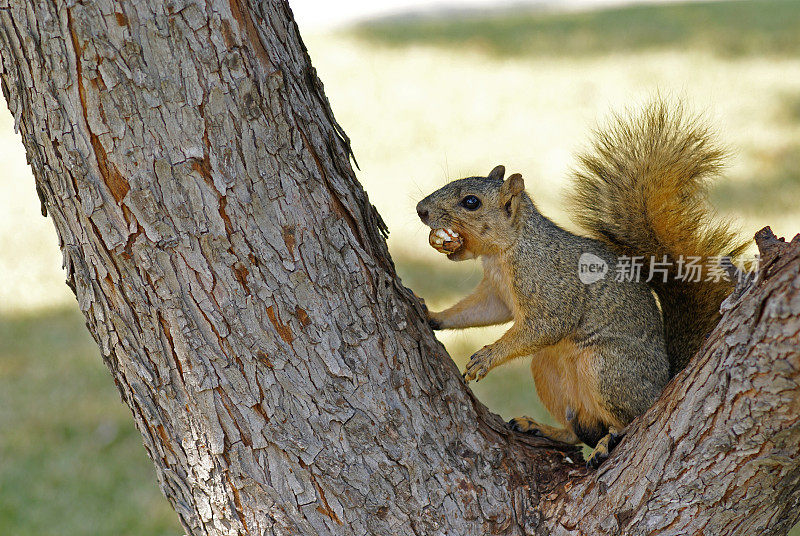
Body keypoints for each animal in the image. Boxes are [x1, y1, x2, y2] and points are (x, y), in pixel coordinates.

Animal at [416, 99, 748, 464]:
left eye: (471, 202)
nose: (420, 209)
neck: (506, 252)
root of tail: (664, 381)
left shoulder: (550, 285)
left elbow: (548, 324)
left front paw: (487, 357)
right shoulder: (498, 294)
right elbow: (481, 311)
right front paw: (433, 316)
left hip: (606, 368)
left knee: (627, 420)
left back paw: (608, 440)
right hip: (547, 368)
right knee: (576, 430)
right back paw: (542, 428)